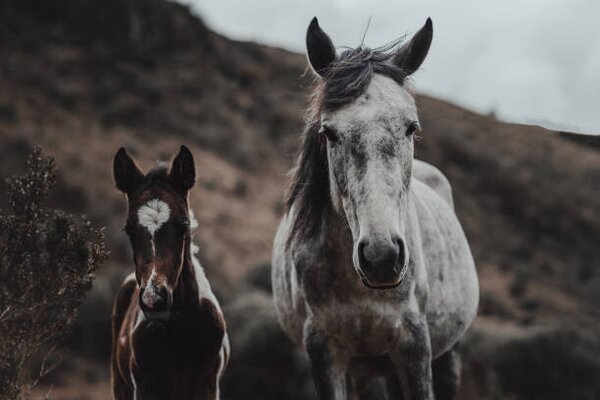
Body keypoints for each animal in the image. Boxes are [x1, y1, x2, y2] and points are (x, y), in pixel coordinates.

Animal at [109, 145, 229, 398]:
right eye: (128, 229)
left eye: (183, 225)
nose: (154, 299)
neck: (180, 334)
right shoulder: (146, 387)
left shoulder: (207, 385)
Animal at [272, 17, 478, 398]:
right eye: (329, 132)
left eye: (411, 127)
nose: (381, 257)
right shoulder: (324, 350)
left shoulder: (414, 345)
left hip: (447, 353)